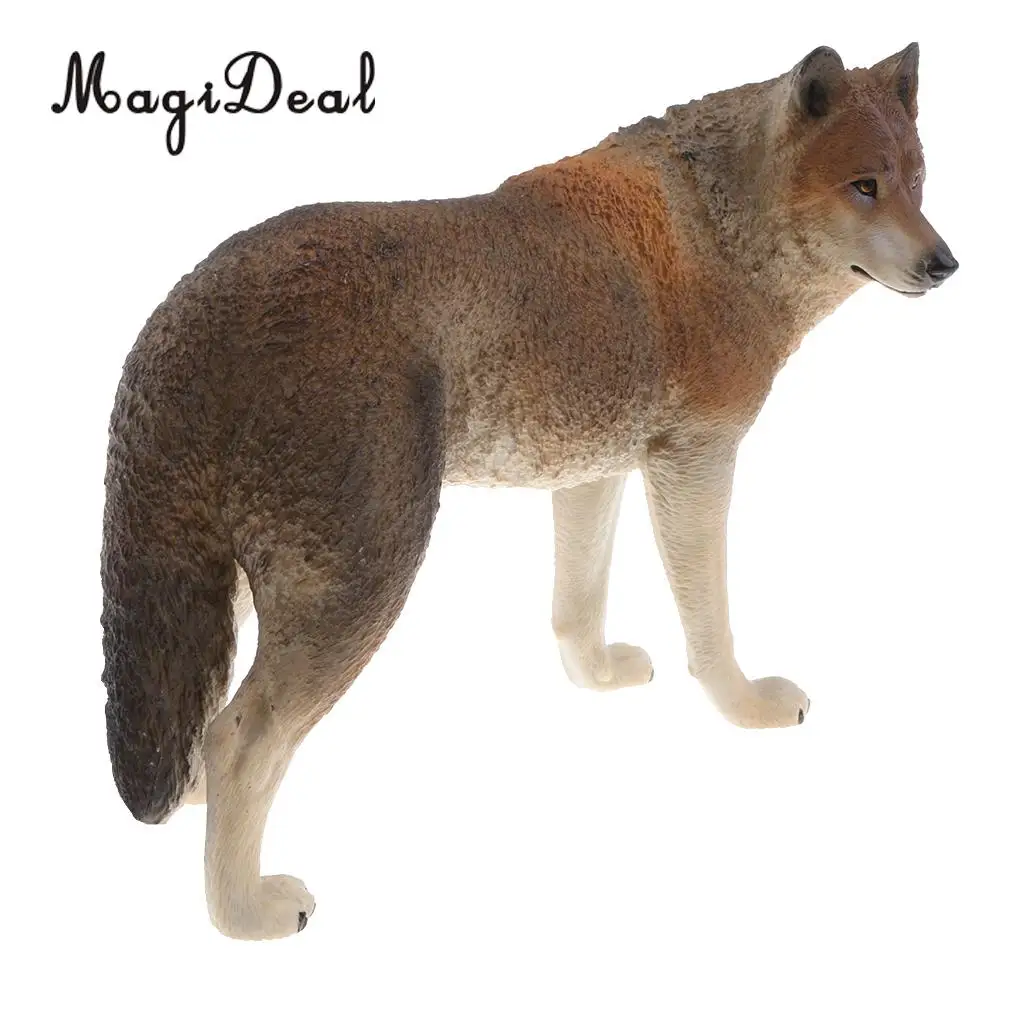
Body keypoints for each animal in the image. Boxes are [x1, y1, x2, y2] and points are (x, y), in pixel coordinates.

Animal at [101, 43, 957, 939]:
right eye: (864, 186)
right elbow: (711, 624)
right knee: (241, 739)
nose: (945, 263)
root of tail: (180, 312)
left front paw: (599, 677)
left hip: (228, 580)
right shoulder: (696, 462)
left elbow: (575, 609)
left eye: (917, 181)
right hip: (359, 582)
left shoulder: (595, 468)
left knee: (202, 723)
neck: (721, 226)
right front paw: (744, 706)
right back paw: (243, 912)